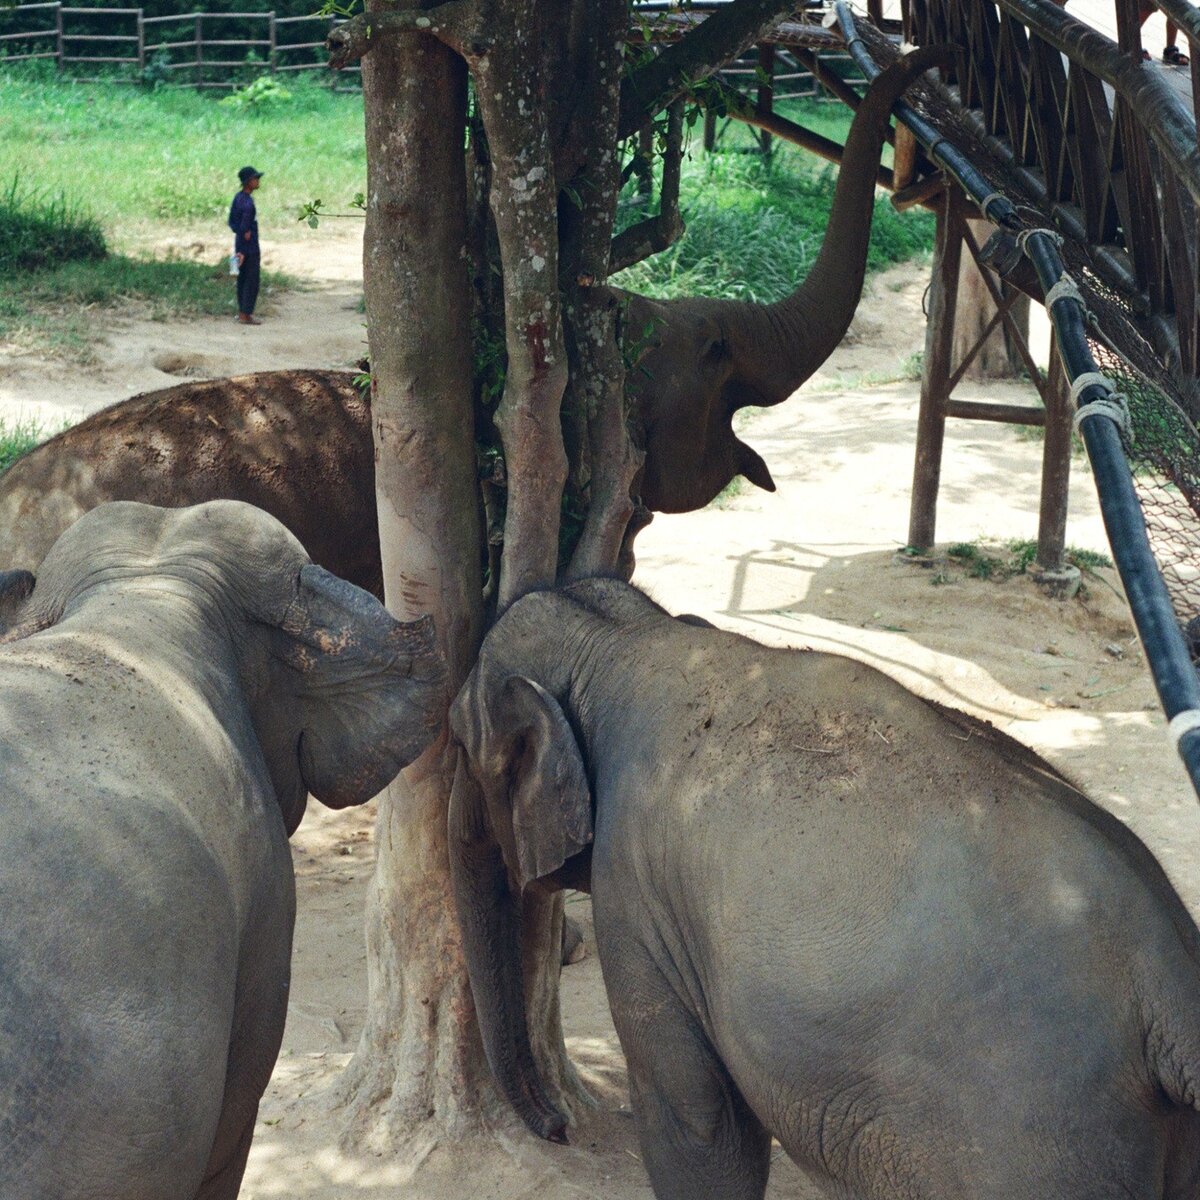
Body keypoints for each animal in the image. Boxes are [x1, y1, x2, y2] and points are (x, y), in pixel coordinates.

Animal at [449, 578, 1200, 1200]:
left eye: (463, 749)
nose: (557, 1128)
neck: (625, 638)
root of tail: (1171, 973)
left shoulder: (634, 889)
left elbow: (696, 1114)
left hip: (1029, 1133)